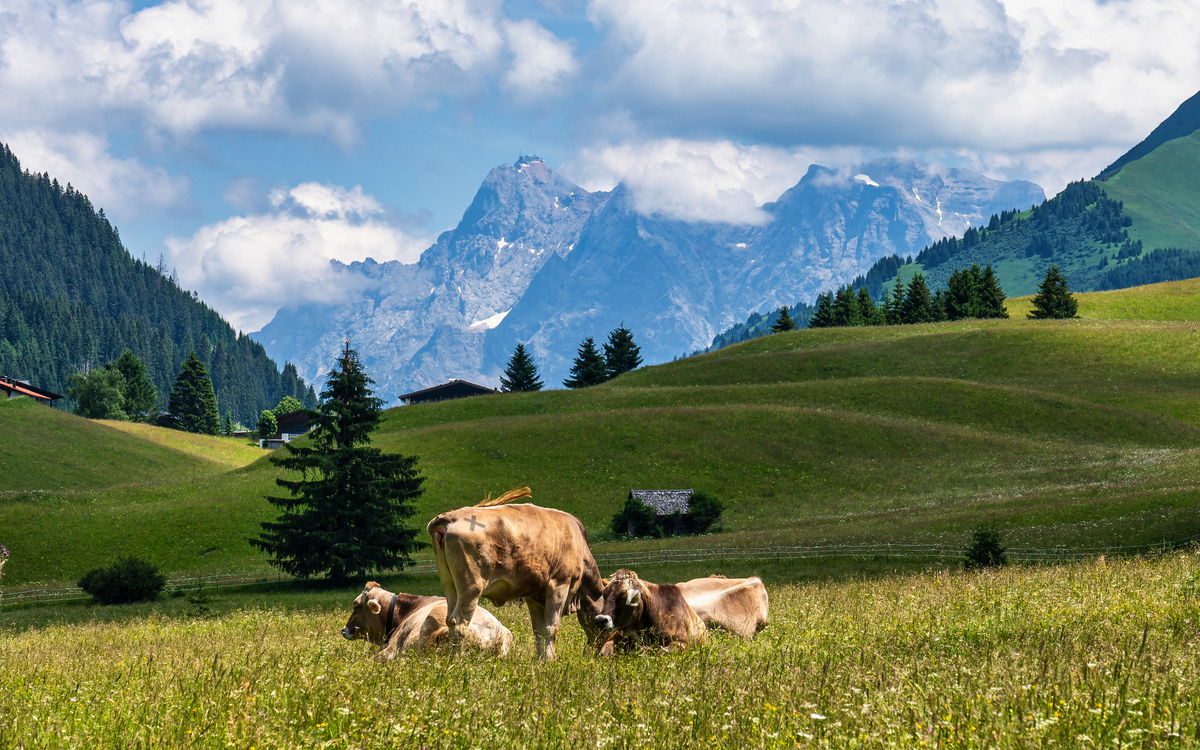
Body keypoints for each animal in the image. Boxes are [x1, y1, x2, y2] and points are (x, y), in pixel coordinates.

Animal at [427, 484, 604, 652]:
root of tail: (450, 517)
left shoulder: (534, 596)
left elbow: (538, 631)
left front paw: (542, 661)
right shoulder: (559, 586)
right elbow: (550, 629)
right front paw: (550, 659)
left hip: (449, 585)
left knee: (450, 620)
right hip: (471, 587)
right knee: (460, 623)